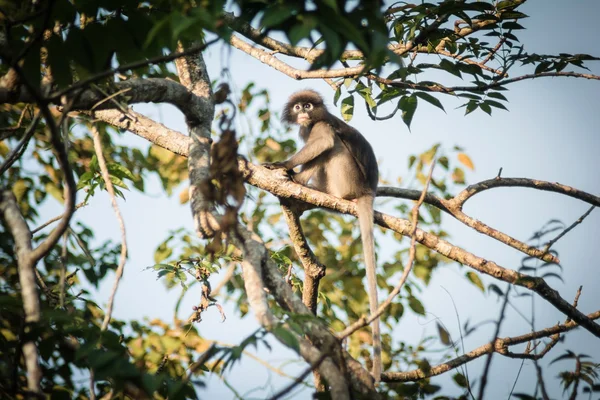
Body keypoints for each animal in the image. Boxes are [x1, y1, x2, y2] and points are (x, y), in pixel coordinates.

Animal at [264, 89, 382, 382]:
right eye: (298, 107)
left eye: (308, 105)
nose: (304, 112)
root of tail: (367, 191)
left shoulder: (319, 125)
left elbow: (326, 141)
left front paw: (282, 164)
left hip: (346, 179)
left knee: (333, 146)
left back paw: (296, 181)